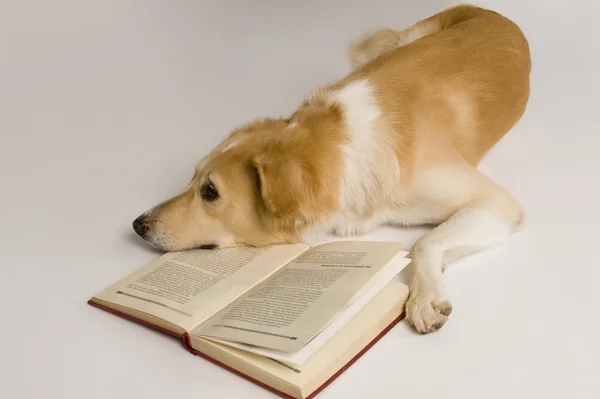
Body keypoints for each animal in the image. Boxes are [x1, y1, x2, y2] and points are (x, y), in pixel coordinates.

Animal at [130, 4, 528, 332]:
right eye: (191, 177)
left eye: (210, 192)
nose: (138, 225)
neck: (333, 147)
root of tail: (492, 12)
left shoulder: (496, 203)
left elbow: (424, 242)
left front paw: (426, 295)